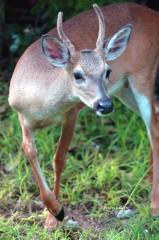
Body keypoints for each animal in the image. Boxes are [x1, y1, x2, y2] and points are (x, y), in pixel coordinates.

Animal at [8, 1, 159, 230]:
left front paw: (55, 215)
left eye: (107, 71)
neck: (43, 105)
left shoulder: (72, 112)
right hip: (124, 89)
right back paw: (148, 178)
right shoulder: (22, 116)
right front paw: (53, 210)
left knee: (154, 129)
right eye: (77, 74)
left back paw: (154, 204)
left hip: (143, 75)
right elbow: (29, 151)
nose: (105, 105)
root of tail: (154, 14)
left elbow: (59, 159)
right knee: (155, 117)